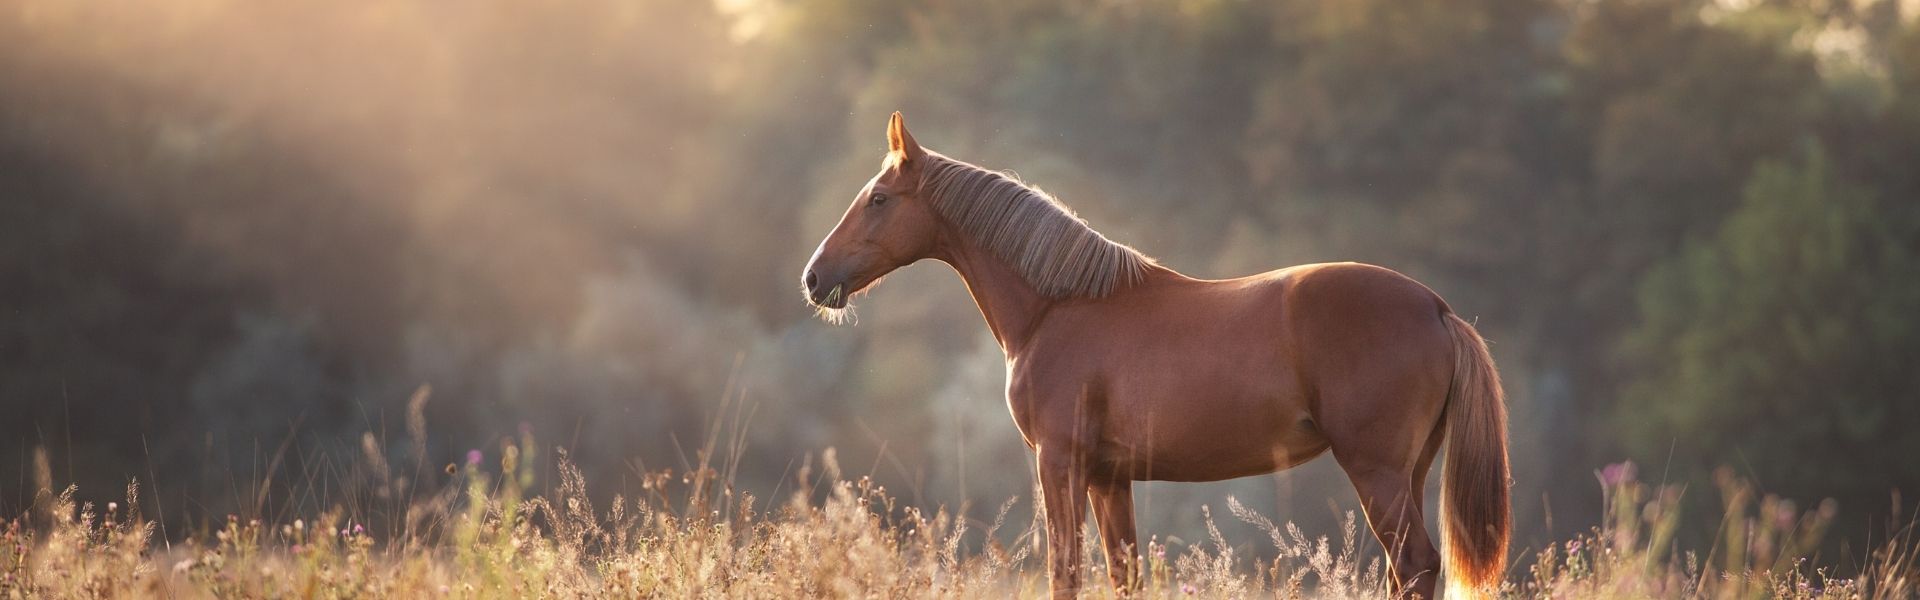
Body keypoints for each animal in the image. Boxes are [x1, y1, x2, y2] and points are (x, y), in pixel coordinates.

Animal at [801, 112, 1510, 599]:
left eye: (879, 200)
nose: (814, 279)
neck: (1058, 306)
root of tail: (1436, 308)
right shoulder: (1108, 477)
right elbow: (1125, 573)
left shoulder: (1060, 463)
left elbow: (1066, 571)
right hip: (1407, 473)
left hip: (1378, 473)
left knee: (1414, 565)